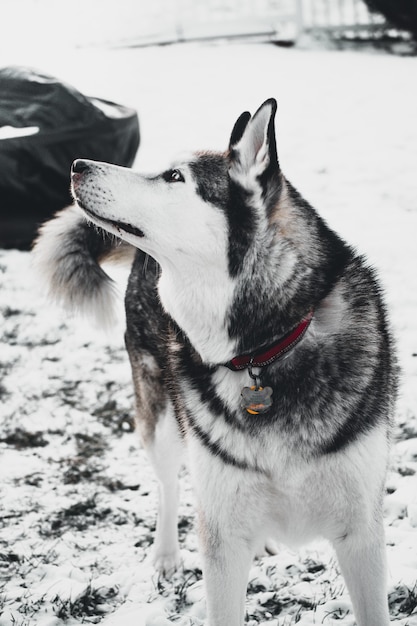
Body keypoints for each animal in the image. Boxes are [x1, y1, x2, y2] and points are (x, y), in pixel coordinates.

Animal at [33, 100, 396, 624]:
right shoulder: (221, 534)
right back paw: (166, 556)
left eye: (173, 176)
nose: (77, 165)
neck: (264, 348)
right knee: (167, 485)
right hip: (163, 422)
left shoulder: (361, 532)